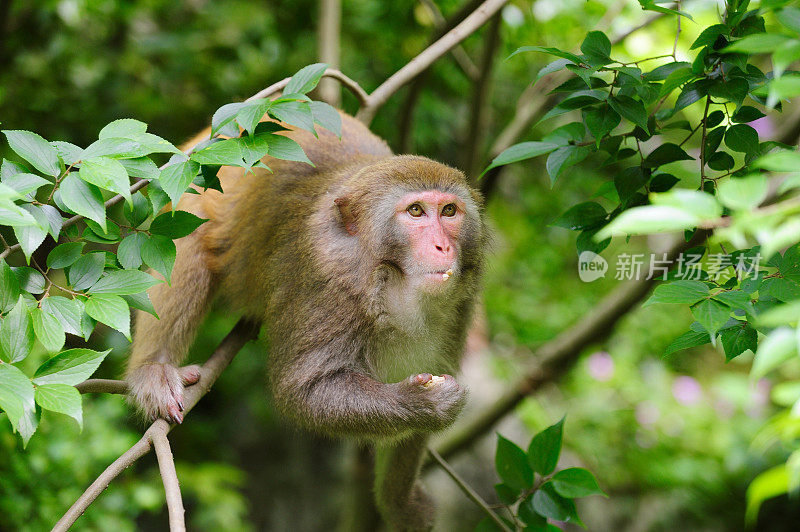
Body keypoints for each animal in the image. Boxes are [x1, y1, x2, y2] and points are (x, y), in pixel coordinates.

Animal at [126, 110, 488, 528]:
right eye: (416, 211)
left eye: (449, 211)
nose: (443, 246)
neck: (392, 282)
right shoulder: (326, 281)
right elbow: (303, 390)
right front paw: (423, 403)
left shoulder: (462, 302)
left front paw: (398, 504)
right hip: (184, 200)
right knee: (184, 248)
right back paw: (152, 369)